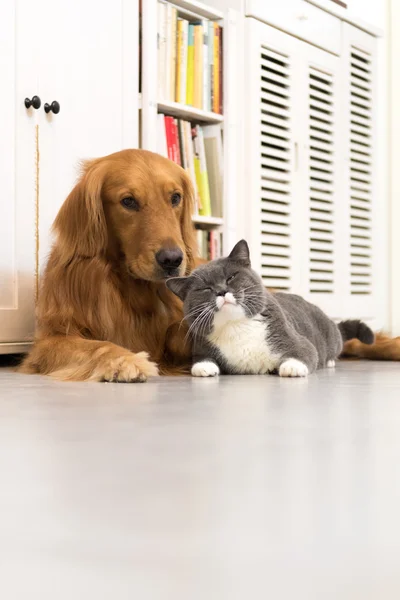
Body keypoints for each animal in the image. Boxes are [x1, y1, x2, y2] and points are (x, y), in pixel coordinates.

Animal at [20, 151, 197, 384]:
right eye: (128, 201)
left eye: (176, 198)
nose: (172, 260)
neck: (131, 287)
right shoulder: (49, 341)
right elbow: (96, 345)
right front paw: (124, 360)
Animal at [166, 238, 376, 376]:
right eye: (205, 288)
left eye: (231, 277)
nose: (221, 291)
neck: (236, 325)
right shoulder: (202, 343)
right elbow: (201, 360)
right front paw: (204, 367)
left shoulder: (291, 337)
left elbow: (306, 351)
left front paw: (292, 366)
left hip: (330, 335)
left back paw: (330, 360)